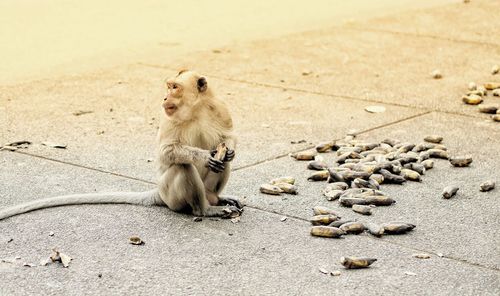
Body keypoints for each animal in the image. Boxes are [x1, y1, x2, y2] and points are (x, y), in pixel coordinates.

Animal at [0, 70, 242, 221]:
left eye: (175, 87)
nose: (164, 98)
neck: (195, 109)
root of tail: (159, 193)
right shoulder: (168, 117)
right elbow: (167, 152)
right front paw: (205, 156)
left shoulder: (220, 106)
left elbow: (228, 136)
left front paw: (227, 151)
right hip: (170, 195)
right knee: (181, 165)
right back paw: (204, 209)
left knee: (223, 164)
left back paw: (216, 197)